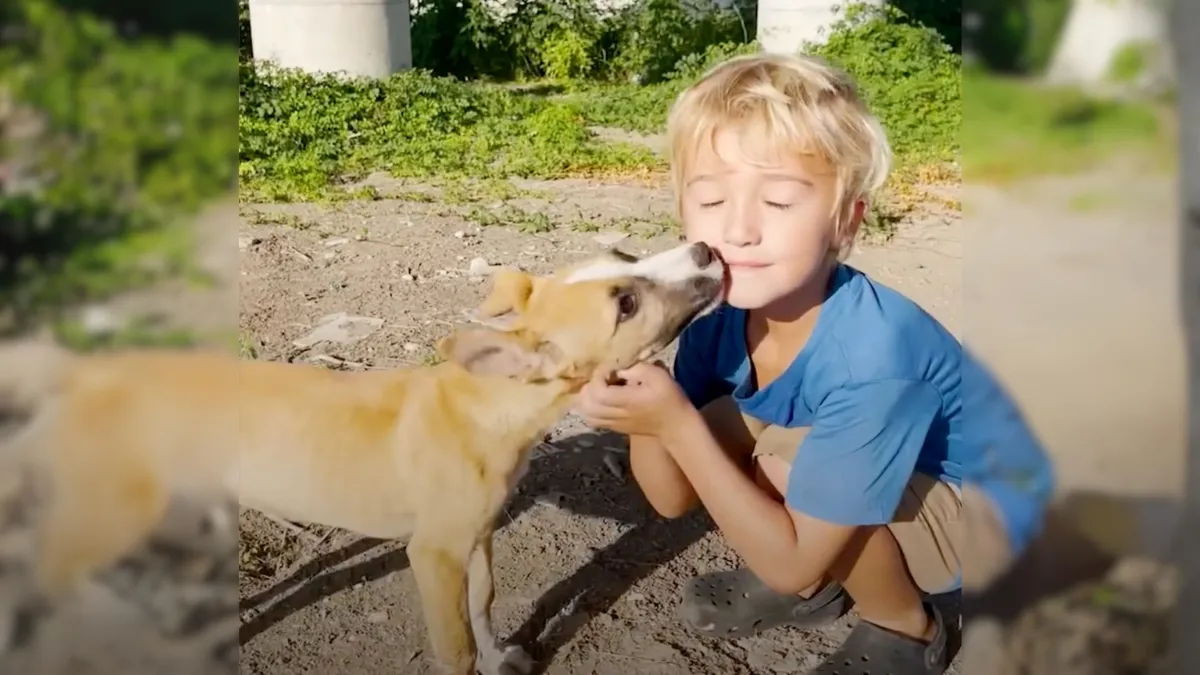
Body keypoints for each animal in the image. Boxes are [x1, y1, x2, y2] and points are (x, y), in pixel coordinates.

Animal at [0, 241, 720, 672]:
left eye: (625, 254)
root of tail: (83, 370)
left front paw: (499, 658)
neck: (488, 401)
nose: (707, 249)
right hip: (111, 511)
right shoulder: (432, 555)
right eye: (626, 302)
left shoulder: (478, 536)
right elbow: (454, 645)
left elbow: (485, 604)